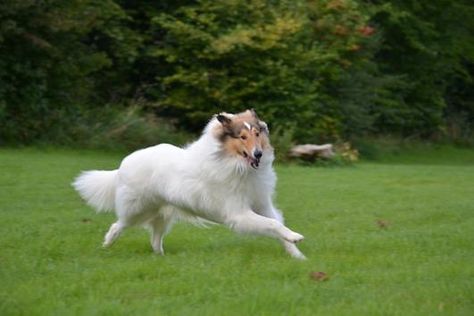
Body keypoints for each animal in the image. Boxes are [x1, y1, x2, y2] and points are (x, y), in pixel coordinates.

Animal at [72, 110, 306, 258]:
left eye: (257, 134)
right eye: (242, 137)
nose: (258, 154)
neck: (237, 164)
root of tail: (123, 164)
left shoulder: (262, 204)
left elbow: (276, 221)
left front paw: (297, 254)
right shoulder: (238, 213)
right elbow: (273, 224)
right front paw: (296, 237)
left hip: (162, 214)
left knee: (155, 239)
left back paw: (162, 257)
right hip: (137, 210)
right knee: (118, 224)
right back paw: (107, 244)